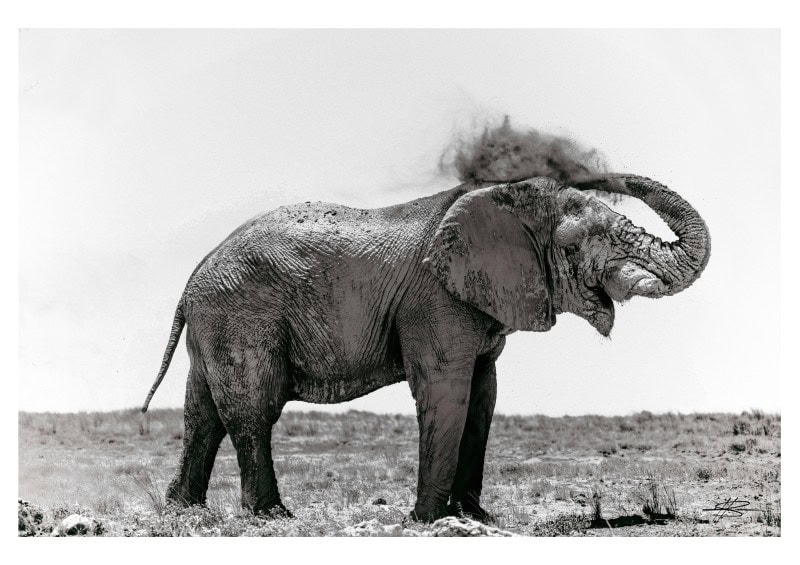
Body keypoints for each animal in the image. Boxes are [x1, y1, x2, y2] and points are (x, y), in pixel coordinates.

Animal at [142, 173, 710, 522]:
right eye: (573, 245)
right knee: (252, 411)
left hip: (216, 322)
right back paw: (272, 516)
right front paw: (427, 521)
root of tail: (191, 279)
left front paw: (475, 518)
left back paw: (184, 512)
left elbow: (482, 398)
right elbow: (445, 391)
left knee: (202, 412)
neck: (504, 199)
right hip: (242, 315)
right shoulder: (435, 301)